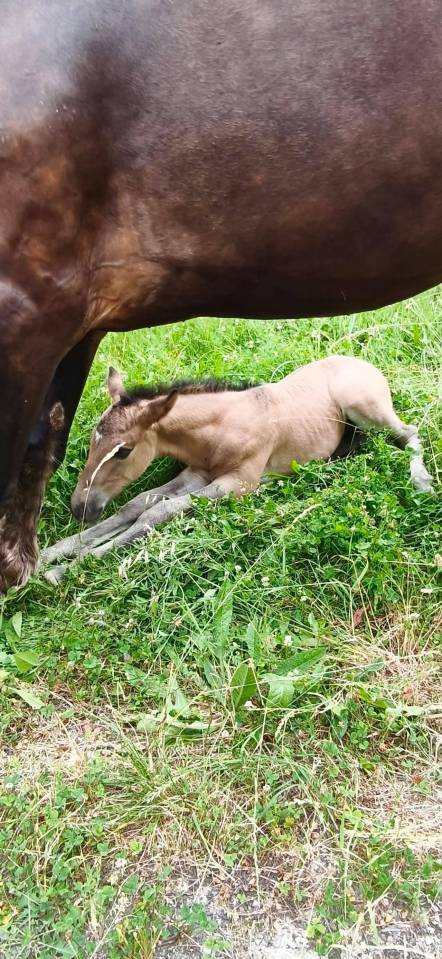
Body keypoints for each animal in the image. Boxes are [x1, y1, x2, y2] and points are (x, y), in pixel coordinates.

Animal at [1, 0, 442, 591]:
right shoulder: (187, 468)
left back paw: (420, 481)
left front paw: (64, 564)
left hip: (366, 407)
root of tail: (357, 360)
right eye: (92, 442)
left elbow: (150, 509)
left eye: (122, 449)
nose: (79, 508)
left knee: (409, 432)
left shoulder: (236, 482)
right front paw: (60, 554)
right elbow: (133, 499)